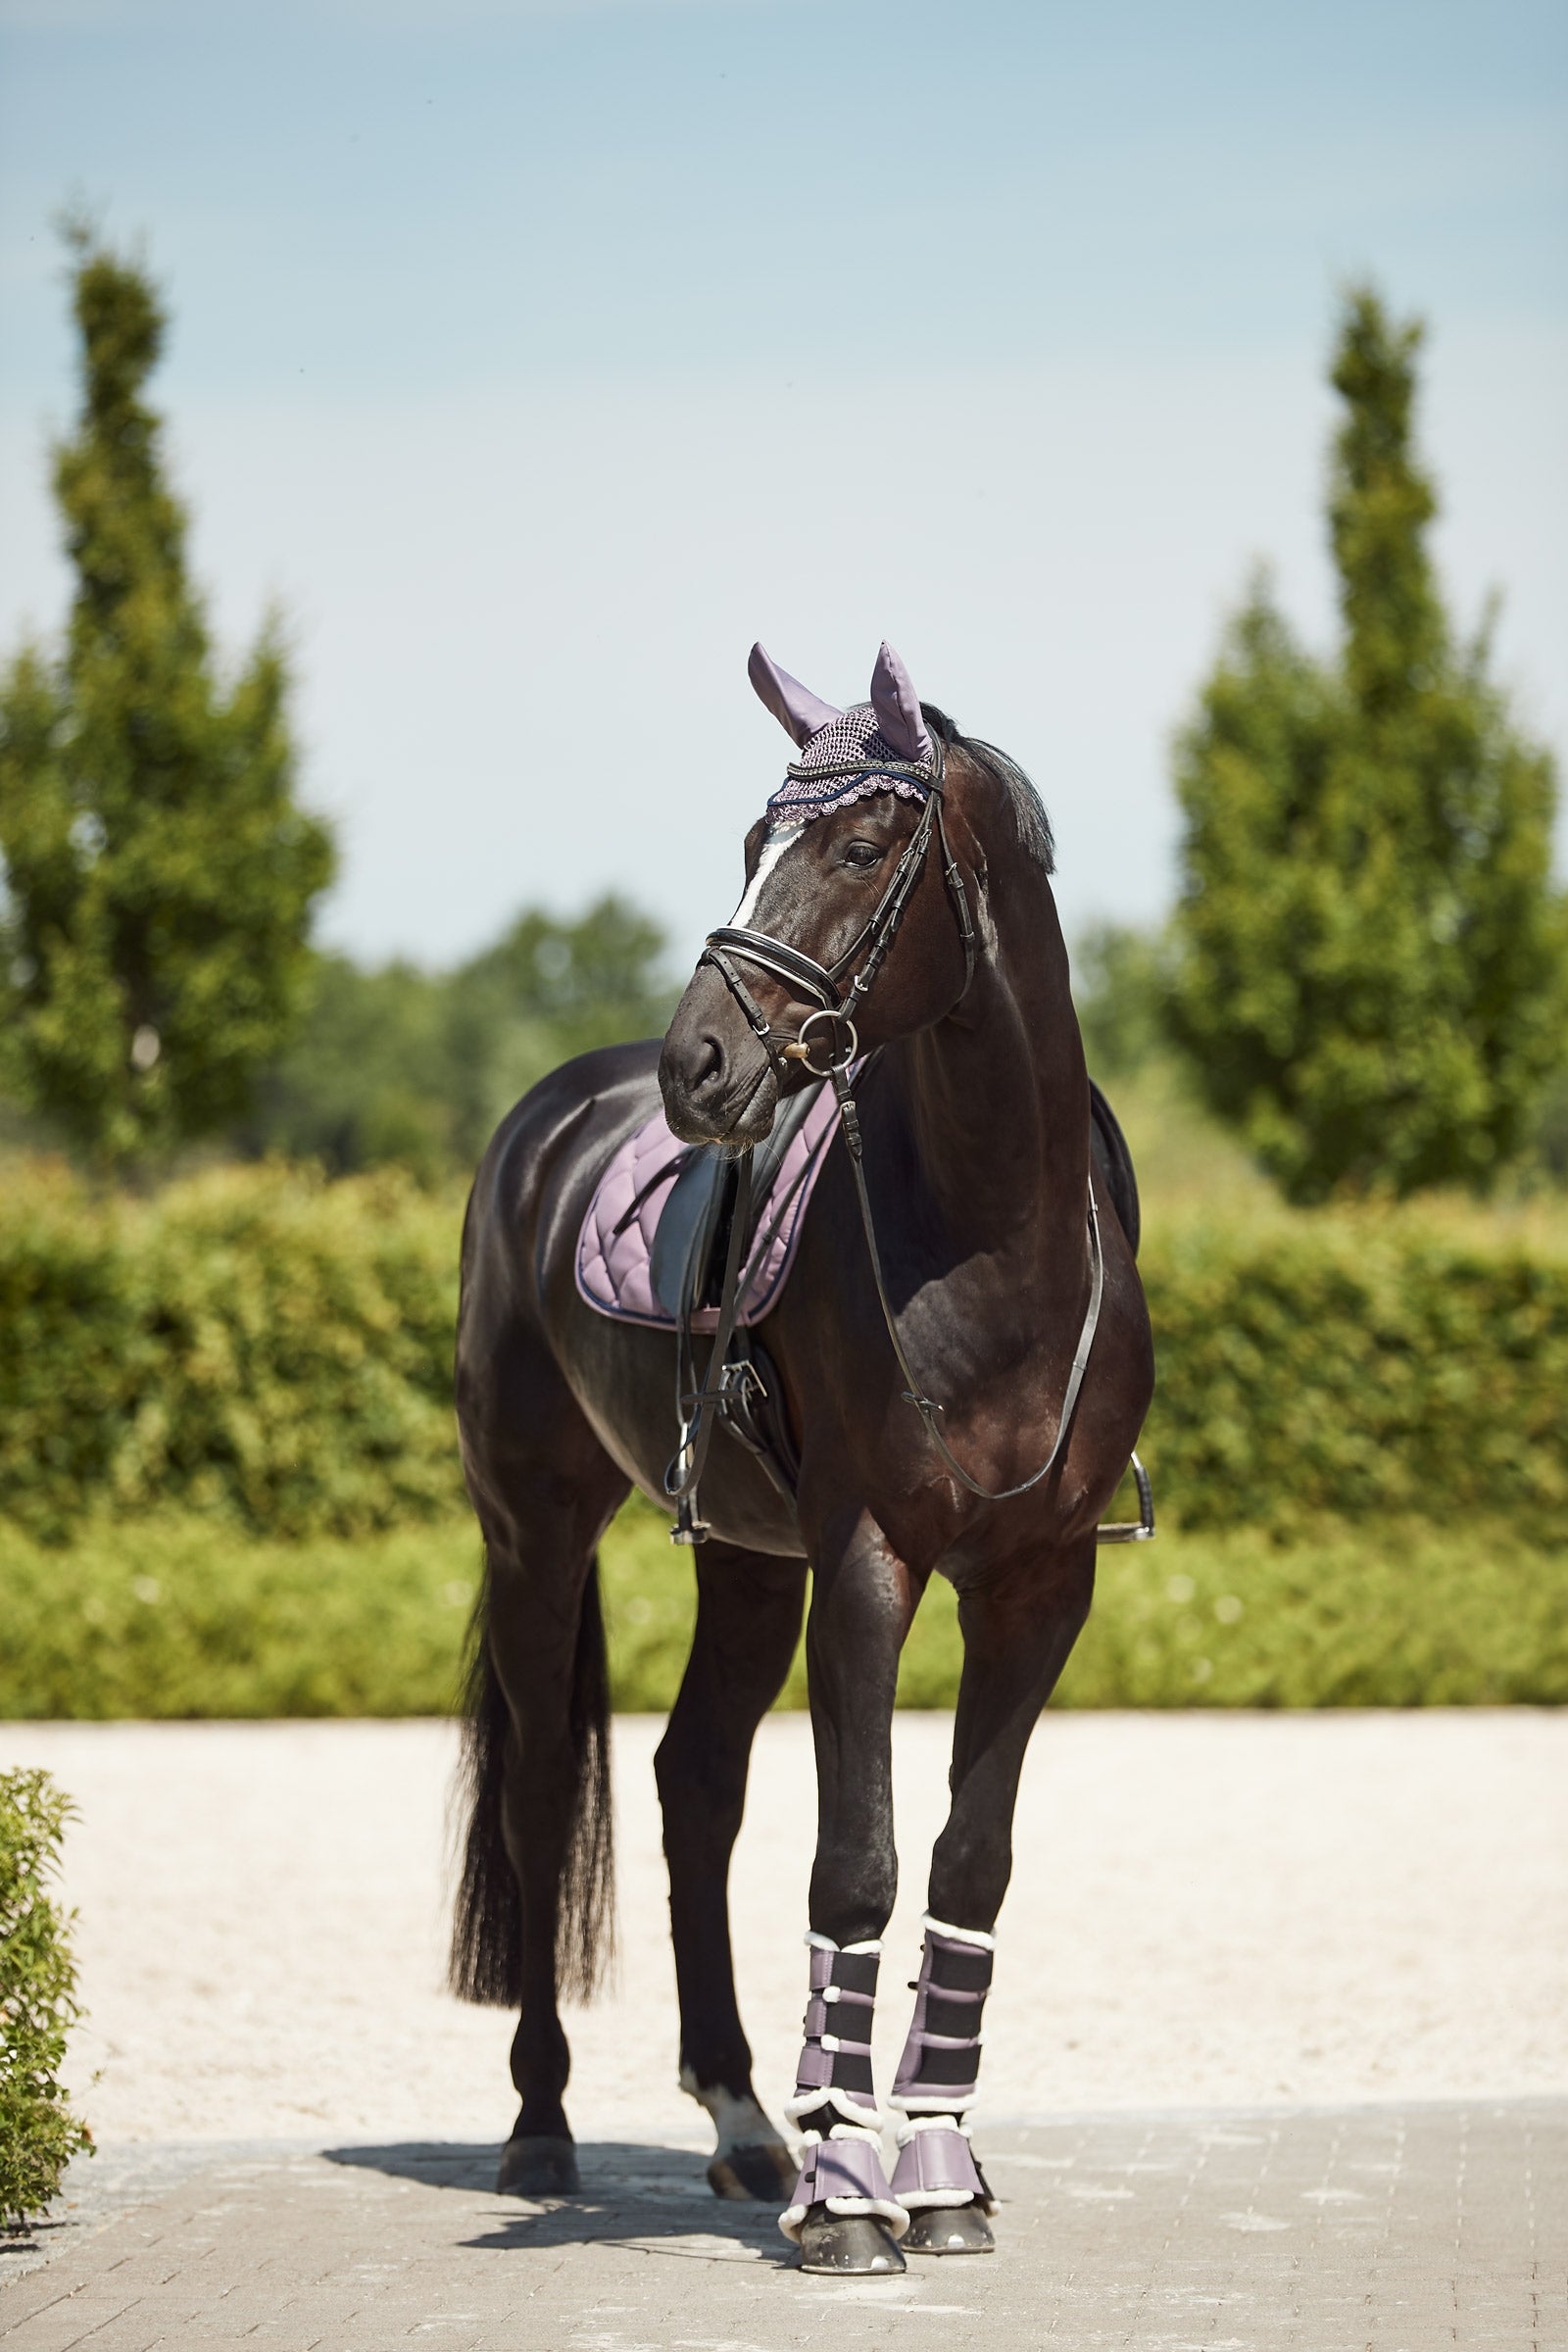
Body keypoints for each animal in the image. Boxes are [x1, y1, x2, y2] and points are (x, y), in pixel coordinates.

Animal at [449, 641, 1154, 2275]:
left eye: (857, 849)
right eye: (752, 843)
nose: (699, 1061)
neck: (995, 1239)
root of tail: (549, 1118)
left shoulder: (1040, 1584)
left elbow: (965, 1862)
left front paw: (940, 2174)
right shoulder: (870, 1562)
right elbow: (859, 1858)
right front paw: (848, 2201)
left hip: (748, 1566)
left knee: (694, 1783)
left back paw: (741, 2122)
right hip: (535, 1531)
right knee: (540, 1805)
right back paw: (544, 2129)